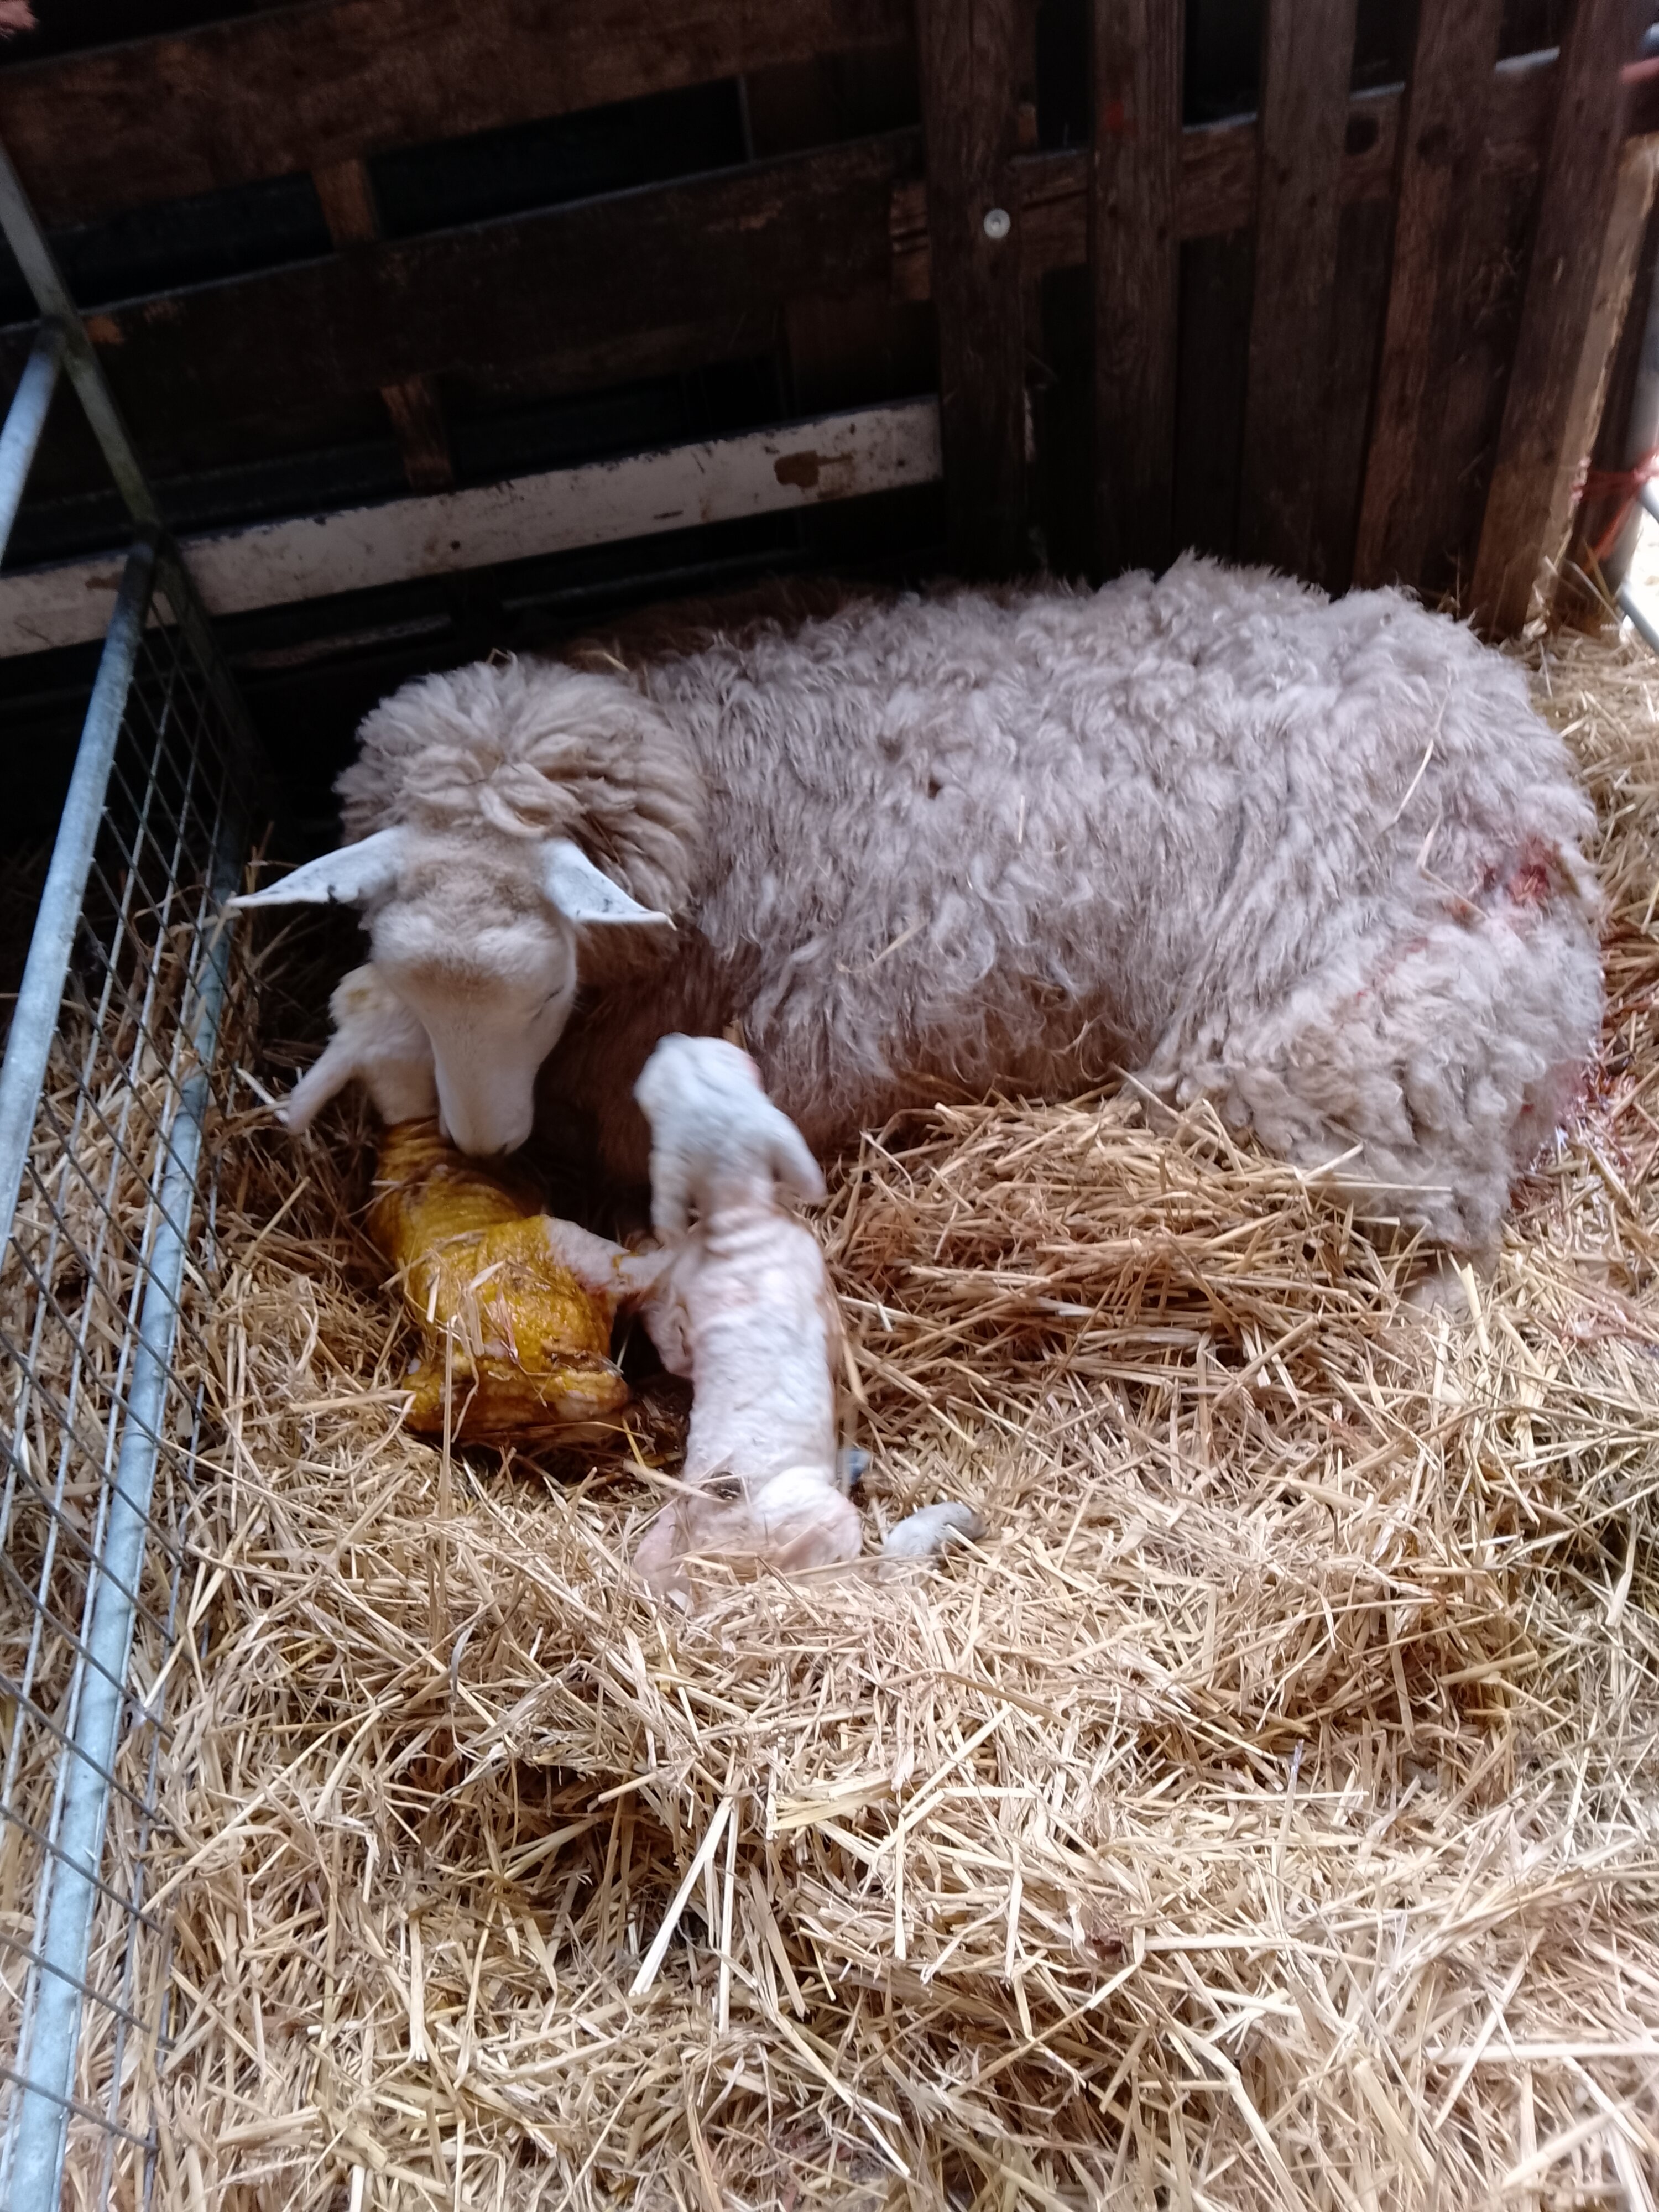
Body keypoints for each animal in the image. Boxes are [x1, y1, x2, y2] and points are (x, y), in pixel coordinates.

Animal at [231, 557, 1604, 1254]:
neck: (733, 788)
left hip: (1327, 1071)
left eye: (548, 984)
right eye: (403, 980)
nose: (484, 1146)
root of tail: (1534, 794)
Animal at [627, 1035, 983, 1600]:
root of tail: (721, 1568)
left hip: (662, 1540)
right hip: (825, 1522)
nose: (670, 1039)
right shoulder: (813, 1274)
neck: (738, 1223)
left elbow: (676, 1352)